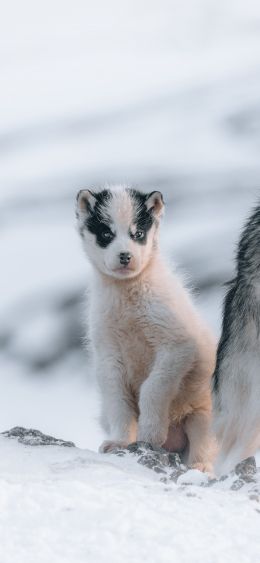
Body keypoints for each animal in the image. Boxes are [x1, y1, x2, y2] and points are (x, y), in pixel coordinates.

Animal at [76, 185, 216, 472]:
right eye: (106, 234)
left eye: (138, 233)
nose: (125, 256)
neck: (127, 297)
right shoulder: (108, 352)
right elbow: (118, 401)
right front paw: (119, 442)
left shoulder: (177, 345)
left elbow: (153, 388)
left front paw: (150, 436)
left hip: (202, 417)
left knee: (204, 449)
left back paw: (200, 468)